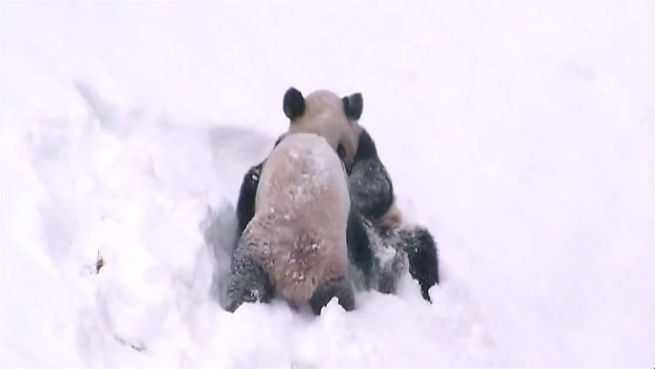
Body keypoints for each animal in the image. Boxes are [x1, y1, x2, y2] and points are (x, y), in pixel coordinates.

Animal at [236, 87, 440, 300]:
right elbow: (250, 188)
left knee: (420, 249)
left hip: (390, 235)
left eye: (343, 149)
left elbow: (377, 182)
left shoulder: (364, 146)